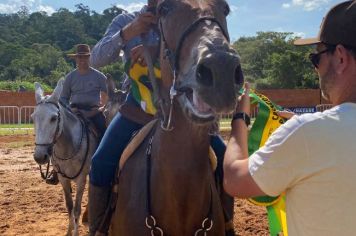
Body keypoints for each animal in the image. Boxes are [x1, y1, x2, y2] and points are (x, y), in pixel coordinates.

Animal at [31, 79, 96, 236]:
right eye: (33, 118)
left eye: (54, 118)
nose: (40, 156)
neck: (68, 147)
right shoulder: (63, 179)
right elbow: (69, 206)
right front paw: (69, 231)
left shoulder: (81, 179)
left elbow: (77, 209)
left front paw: (76, 232)